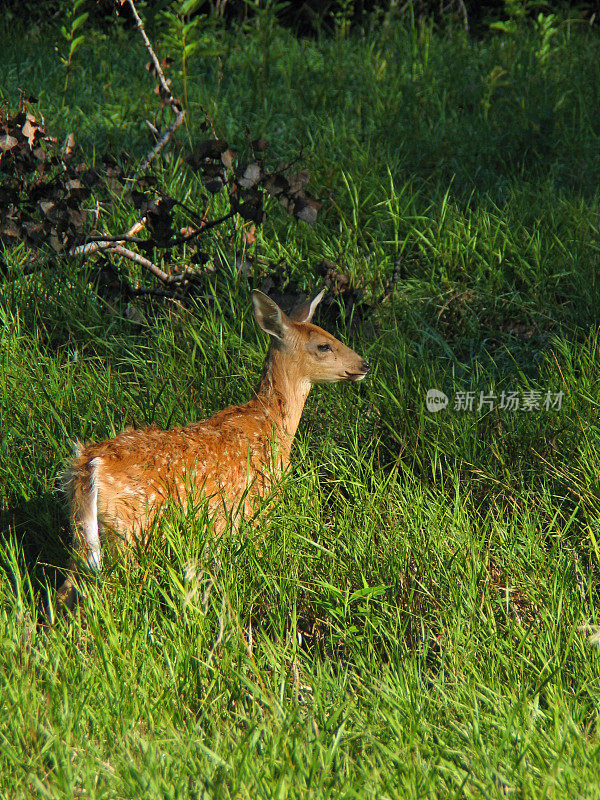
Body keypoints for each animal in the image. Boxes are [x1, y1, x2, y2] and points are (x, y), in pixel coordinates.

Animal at [58, 290, 368, 608]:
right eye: (323, 345)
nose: (364, 364)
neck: (271, 424)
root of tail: (88, 466)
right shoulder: (257, 504)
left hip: (85, 532)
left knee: (66, 588)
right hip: (129, 528)